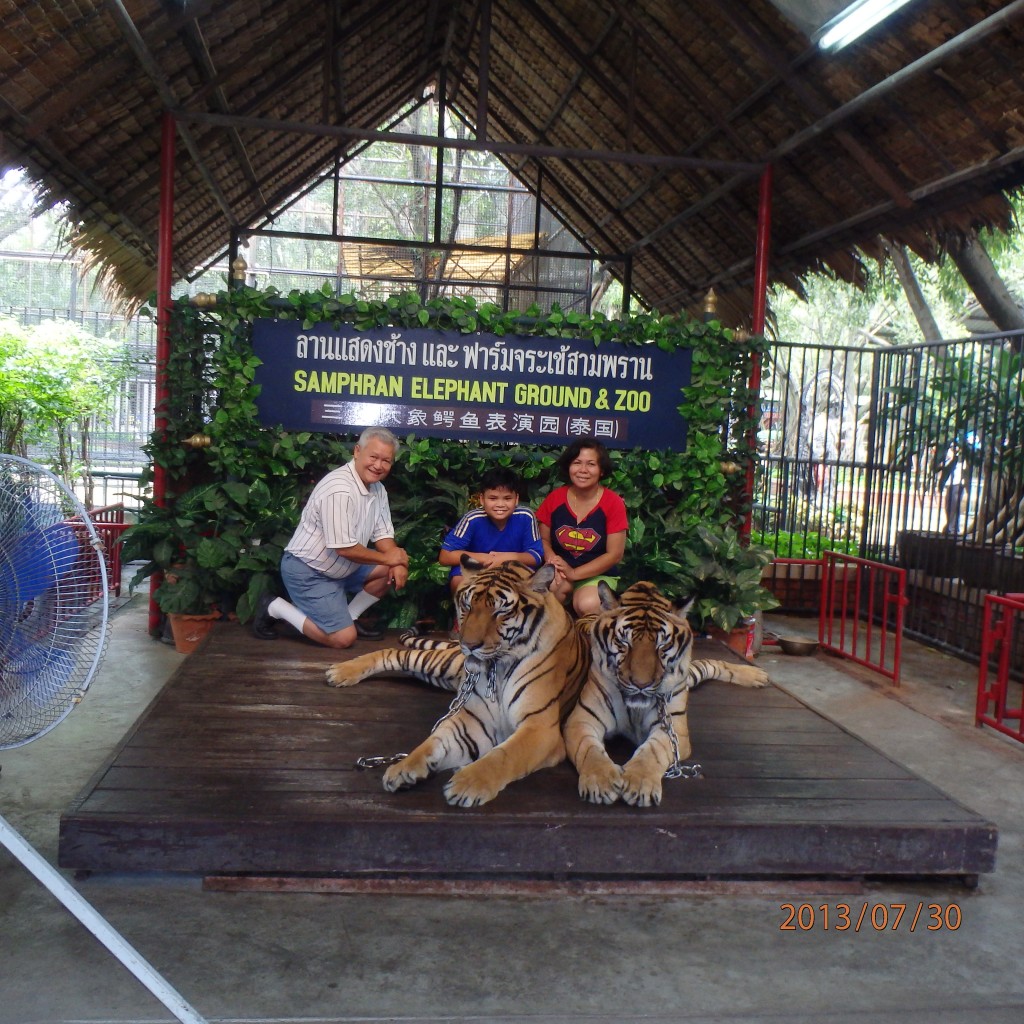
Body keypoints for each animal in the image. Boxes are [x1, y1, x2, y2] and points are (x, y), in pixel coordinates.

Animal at [323, 557, 589, 802]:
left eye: (501, 611)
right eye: (467, 605)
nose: (469, 645)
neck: (498, 669)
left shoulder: (540, 728)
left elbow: (503, 755)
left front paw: (467, 783)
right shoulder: (473, 718)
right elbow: (432, 743)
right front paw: (402, 768)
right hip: (440, 664)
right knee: (393, 653)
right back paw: (342, 672)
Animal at [565, 585, 770, 806]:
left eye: (661, 646)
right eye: (623, 642)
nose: (641, 684)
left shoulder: (674, 729)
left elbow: (653, 751)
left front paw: (639, 783)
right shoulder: (581, 720)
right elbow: (589, 750)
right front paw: (601, 781)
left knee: (714, 664)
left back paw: (757, 675)